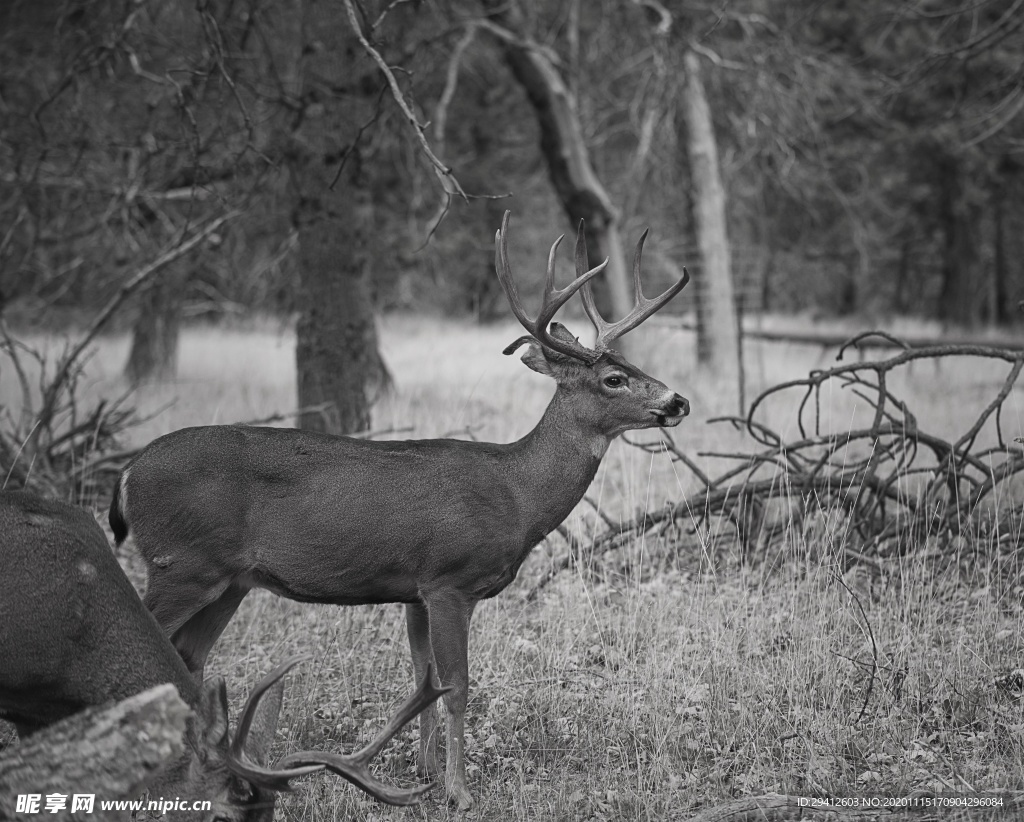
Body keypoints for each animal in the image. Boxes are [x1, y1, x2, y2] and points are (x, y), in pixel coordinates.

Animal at [108, 208, 692, 806]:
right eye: (613, 378)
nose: (679, 401)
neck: (517, 495)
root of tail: (128, 473)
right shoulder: (450, 579)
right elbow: (456, 685)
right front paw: (459, 791)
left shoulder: (417, 591)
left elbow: (421, 679)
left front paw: (427, 772)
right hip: (181, 563)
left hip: (229, 581)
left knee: (188, 659)